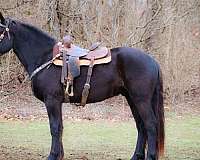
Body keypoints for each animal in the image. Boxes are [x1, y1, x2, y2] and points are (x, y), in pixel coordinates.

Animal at [0, 13, 164, 159]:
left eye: (0, 31)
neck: (45, 57)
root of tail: (152, 61)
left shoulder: (52, 101)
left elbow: (54, 128)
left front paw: (52, 155)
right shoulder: (57, 102)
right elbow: (60, 127)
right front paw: (59, 155)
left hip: (141, 100)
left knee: (150, 125)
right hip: (132, 99)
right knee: (141, 126)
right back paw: (136, 156)